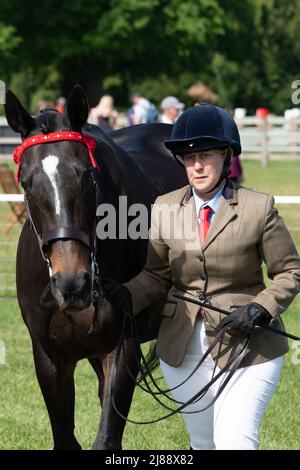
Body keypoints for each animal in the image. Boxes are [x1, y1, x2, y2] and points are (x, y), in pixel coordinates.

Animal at [4, 86, 188, 450]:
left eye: (87, 176)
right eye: (27, 184)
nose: (72, 282)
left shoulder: (122, 347)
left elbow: (106, 438)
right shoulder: (49, 355)